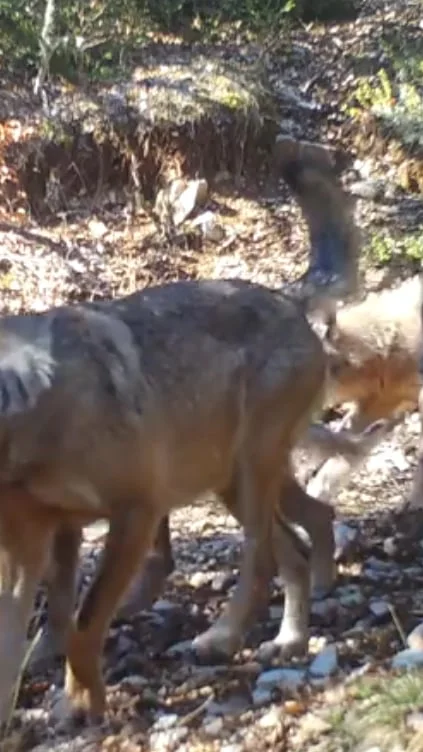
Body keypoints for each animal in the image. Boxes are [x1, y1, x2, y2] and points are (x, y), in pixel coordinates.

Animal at [0, 141, 360, 726]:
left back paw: (226, 637)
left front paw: (80, 703)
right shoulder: (28, 546)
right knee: (303, 537)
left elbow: (83, 620)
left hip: (245, 478)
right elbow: (27, 633)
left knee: (265, 557)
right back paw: (289, 637)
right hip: (233, 482)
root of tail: (285, 298)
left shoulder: (136, 512)